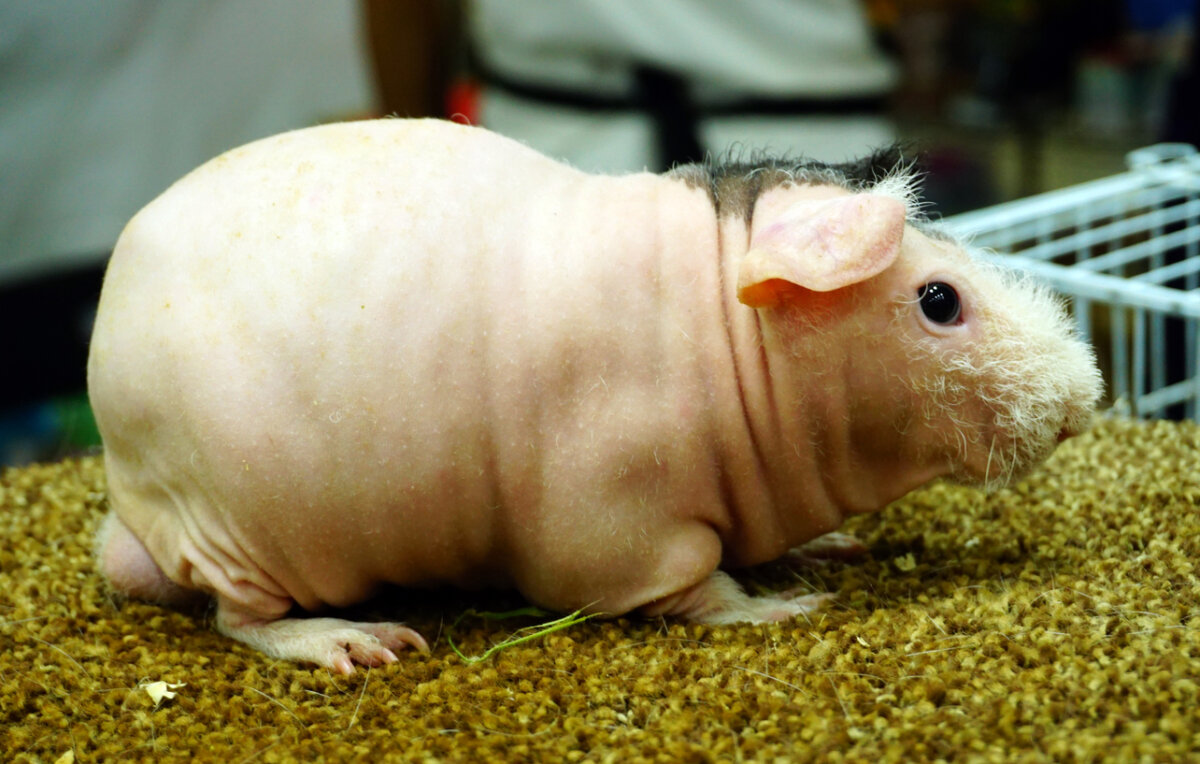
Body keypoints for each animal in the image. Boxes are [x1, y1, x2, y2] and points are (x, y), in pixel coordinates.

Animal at [88, 118, 1101, 674]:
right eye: (939, 300)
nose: (1083, 401)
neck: (729, 341)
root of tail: (133, 511)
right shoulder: (623, 531)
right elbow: (696, 590)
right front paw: (785, 608)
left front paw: (825, 552)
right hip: (241, 541)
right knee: (240, 618)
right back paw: (354, 642)